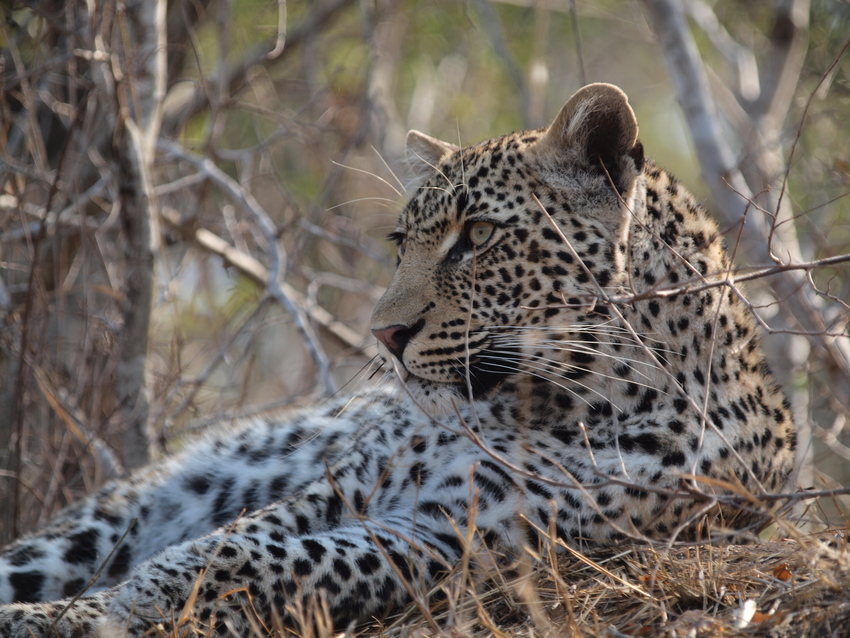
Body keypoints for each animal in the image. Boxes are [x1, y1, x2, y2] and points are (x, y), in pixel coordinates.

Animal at [0, 83, 796, 637]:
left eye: (479, 236)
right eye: (400, 243)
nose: (385, 335)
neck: (549, 401)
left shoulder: (463, 536)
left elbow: (259, 561)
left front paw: (105, 611)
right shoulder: (344, 486)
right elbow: (226, 544)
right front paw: (93, 610)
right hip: (107, 517)